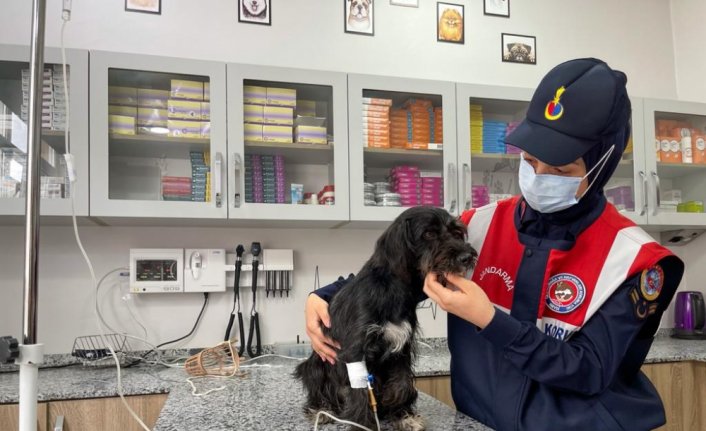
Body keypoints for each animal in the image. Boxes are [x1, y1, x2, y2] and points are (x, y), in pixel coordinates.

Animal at [295, 206, 477, 430]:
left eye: (456, 232)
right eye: (429, 234)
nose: (467, 256)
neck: (393, 290)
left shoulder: (401, 347)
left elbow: (402, 383)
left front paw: (401, 414)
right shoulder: (355, 350)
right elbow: (360, 392)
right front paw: (363, 424)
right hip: (316, 365)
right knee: (319, 389)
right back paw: (322, 409)